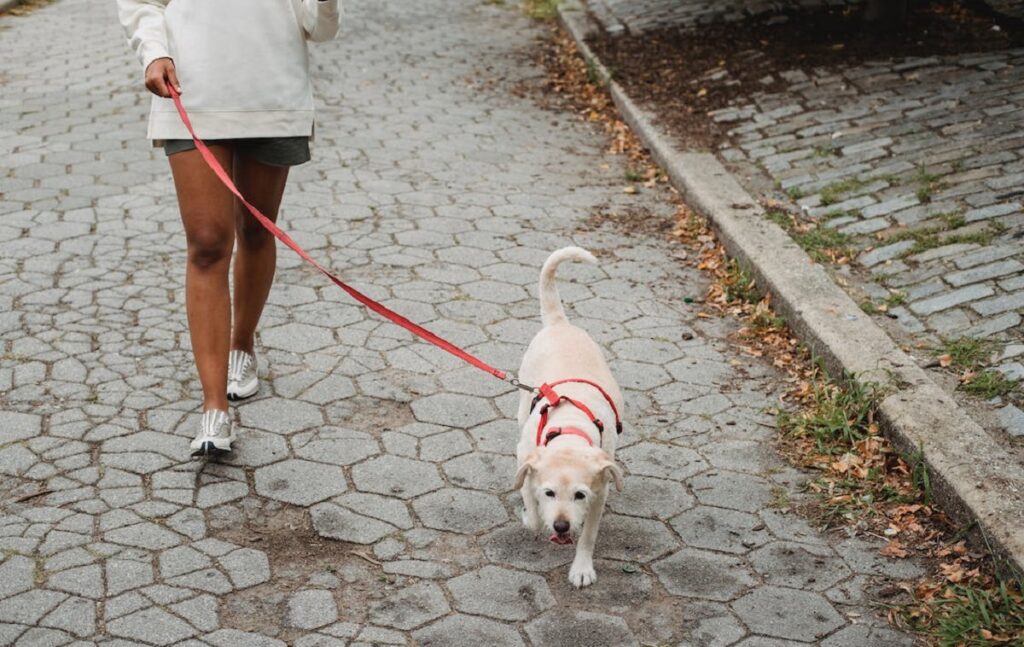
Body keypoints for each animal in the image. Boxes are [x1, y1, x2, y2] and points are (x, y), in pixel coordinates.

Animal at [512, 246, 622, 585]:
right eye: (550, 492)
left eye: (579, 495)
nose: (561, 526)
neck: (570, 430)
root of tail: (560, 324)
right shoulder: (526, 460)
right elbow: (532, 507)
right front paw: (530, 515)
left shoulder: (600, 492)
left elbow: (588, 536)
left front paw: (582, 568)